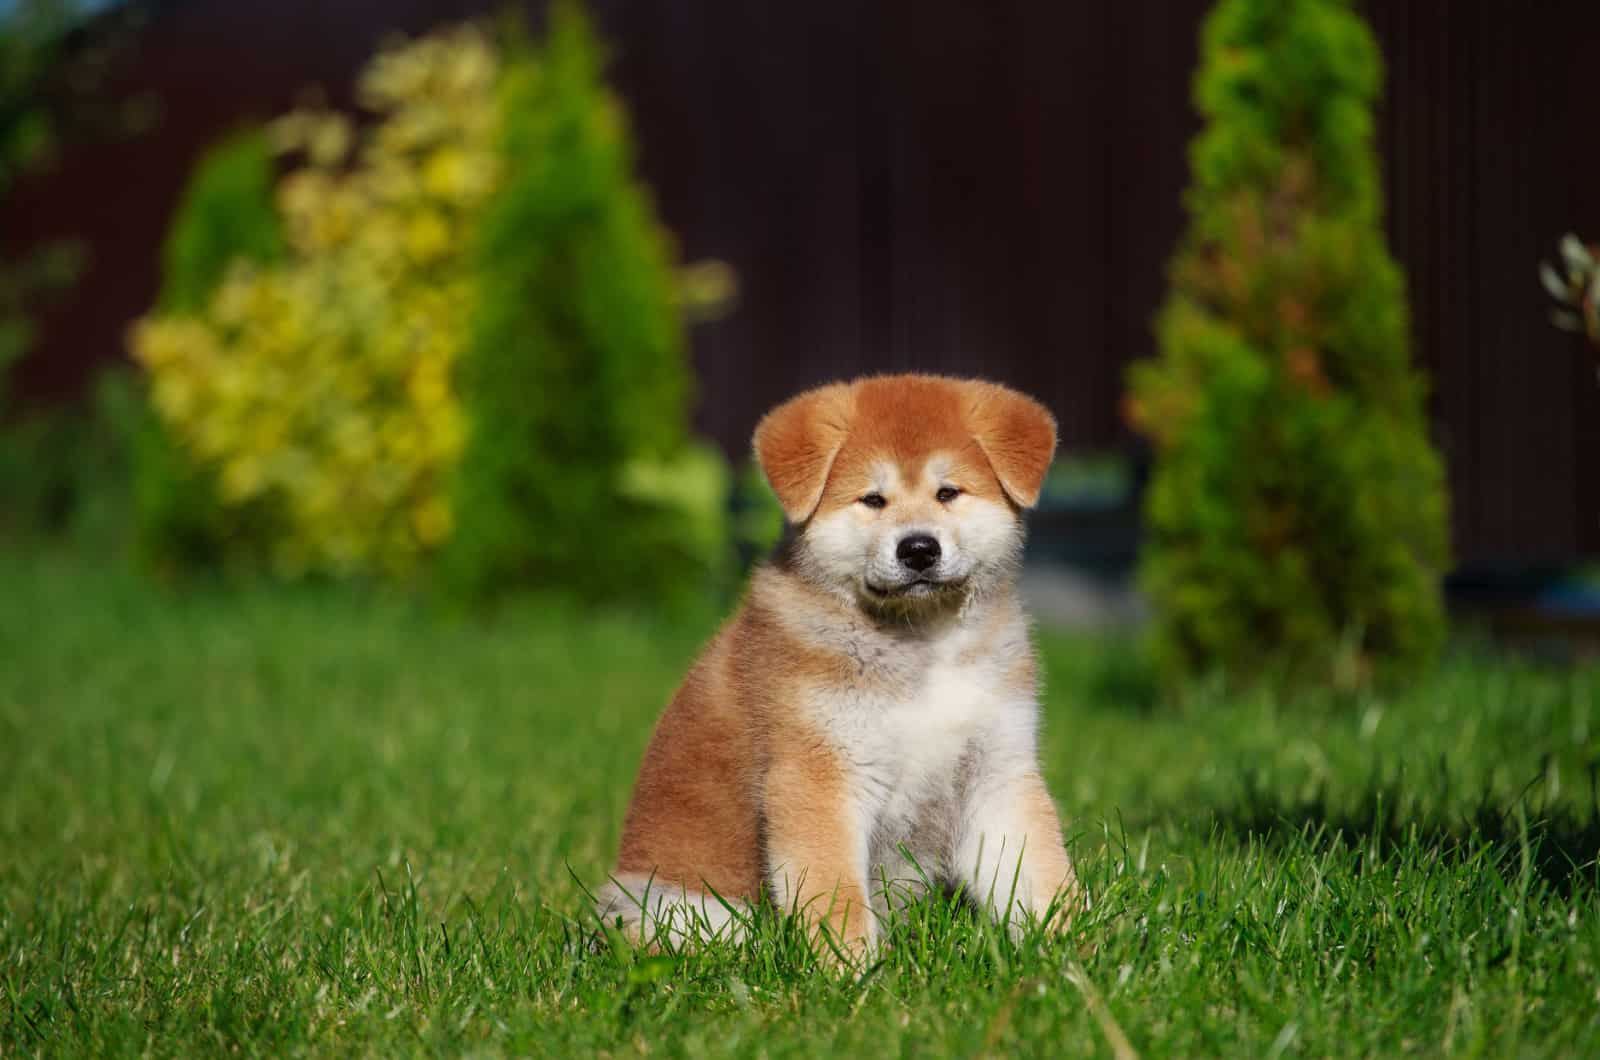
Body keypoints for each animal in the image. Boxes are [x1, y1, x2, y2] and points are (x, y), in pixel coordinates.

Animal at [598, 377, 1075, 960]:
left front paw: (1074, 947)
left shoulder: (995, 769)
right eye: (872, 499)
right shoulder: (819, 774)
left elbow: (1039, 872)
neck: (920, 648)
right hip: (675, 910)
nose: (919, 548)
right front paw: (853, 969)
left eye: (948, 493)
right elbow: (835, 895)